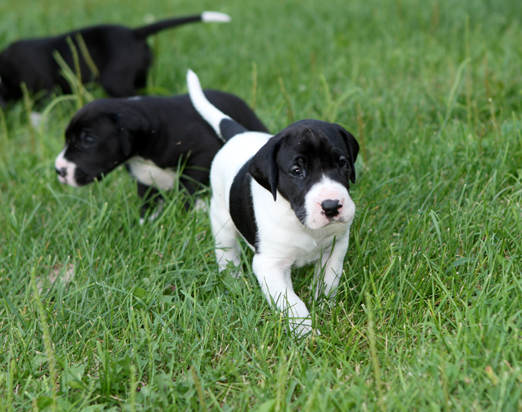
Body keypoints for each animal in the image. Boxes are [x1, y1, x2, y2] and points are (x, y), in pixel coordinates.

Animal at [54, 90, 268, 219]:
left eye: (88, 141)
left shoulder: (203, 152)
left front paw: (193, 212)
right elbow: (148, 200)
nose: (59, 170)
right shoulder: (144, 178)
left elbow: (188, 186)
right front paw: (147, 222)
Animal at [187, 71, 358, 338]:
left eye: (342, 162)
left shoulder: (335, 246)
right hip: (221, 217)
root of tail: (238, 134)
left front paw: (324, 308)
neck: (298, 220)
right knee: (226, 248)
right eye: (297, 171)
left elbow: (328, 280)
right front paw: (307, 335)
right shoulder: (270, 265)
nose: (331, 206)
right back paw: (232, 276)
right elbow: (292, 303)